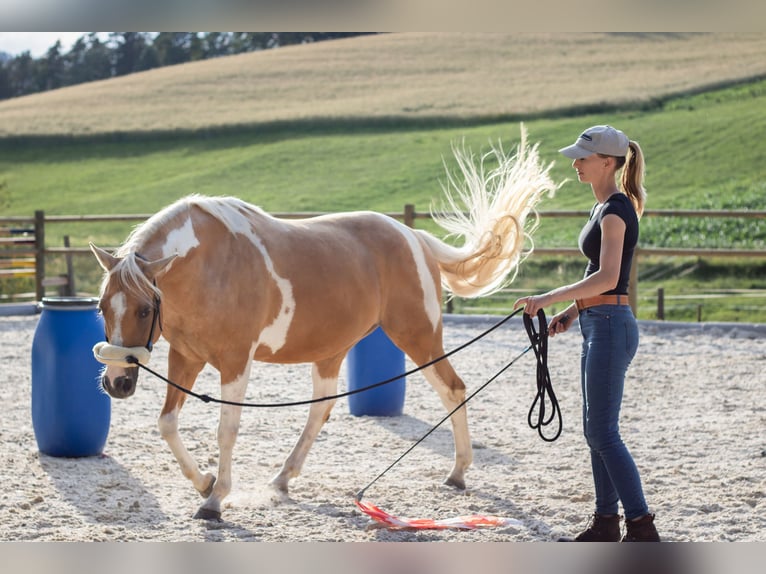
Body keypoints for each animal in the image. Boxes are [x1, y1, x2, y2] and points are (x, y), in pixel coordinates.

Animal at [90, 127, 557, 520]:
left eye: (145, 310)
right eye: (101, 307)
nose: (117, 383)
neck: (209, 265)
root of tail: (414, 238)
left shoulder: (235, 362)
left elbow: (227, 430)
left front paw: (215, 500)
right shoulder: (186, 358)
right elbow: (167, 423)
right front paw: (205, 482)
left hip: (418, 337)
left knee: (453, 389)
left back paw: (459, 472)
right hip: (334, 350)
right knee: (322, 407)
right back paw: (282, 478)